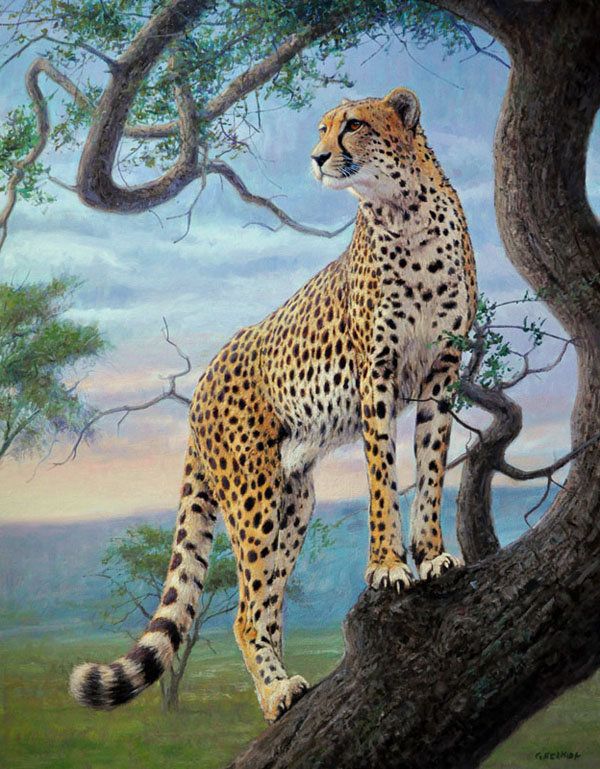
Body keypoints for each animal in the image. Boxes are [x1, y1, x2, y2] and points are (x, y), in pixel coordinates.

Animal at [70, 87, 477, 723]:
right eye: (321, 128)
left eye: (352, 126)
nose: (316, 157)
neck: (402, 212)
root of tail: (202, 384)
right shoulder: (376, 376)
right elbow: (383, 478)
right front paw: (387, 565)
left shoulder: (441, 372)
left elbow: (431, 471)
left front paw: (433, 556)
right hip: (252, 495)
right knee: (245, 613)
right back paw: (276, 693)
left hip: (294, 500)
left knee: (269, 607)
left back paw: (278, 689)